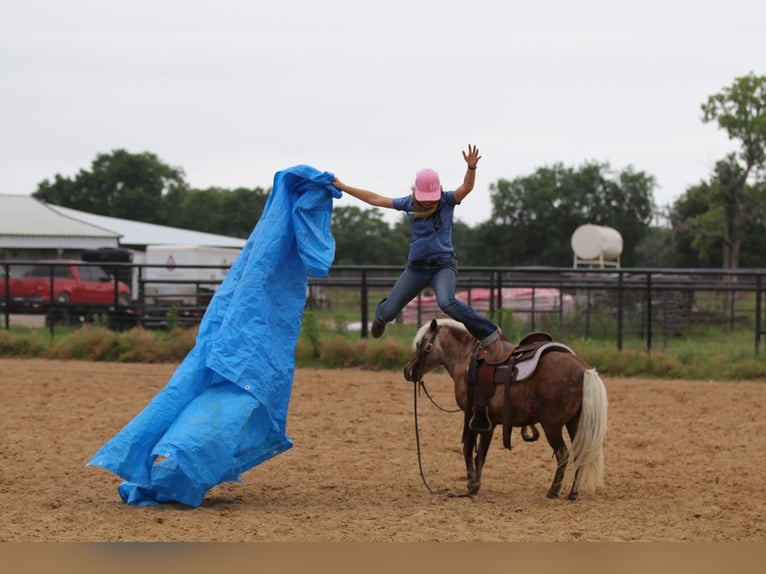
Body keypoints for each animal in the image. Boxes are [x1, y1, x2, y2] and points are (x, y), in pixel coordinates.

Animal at [404, 318, 608, 502]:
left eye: (422, 345)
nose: (408, 370)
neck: (467, 358)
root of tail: (584, 371)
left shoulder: (470, 416)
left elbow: (468, 448)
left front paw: (470, 486)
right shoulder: (489, 421)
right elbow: (482, 453)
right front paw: (476, 485)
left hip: (552, 426)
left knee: (562, 453)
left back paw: (553, 491)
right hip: (575, 423)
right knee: (580, 453)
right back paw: (573, 493)